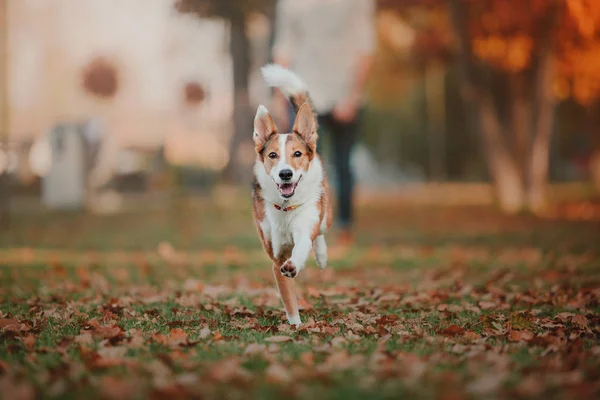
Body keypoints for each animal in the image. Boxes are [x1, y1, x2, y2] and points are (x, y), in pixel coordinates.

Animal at [251, 64, 330, 326]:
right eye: (272, 155)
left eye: (297, 154)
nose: (285, 174)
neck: (285, 208)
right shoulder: (276, 256)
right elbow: (288, 297)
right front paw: (295, 324)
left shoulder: (305, 226)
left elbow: (304, 244)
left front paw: (295, 264)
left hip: (324, 213)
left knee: (321, 233)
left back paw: (322, 256)